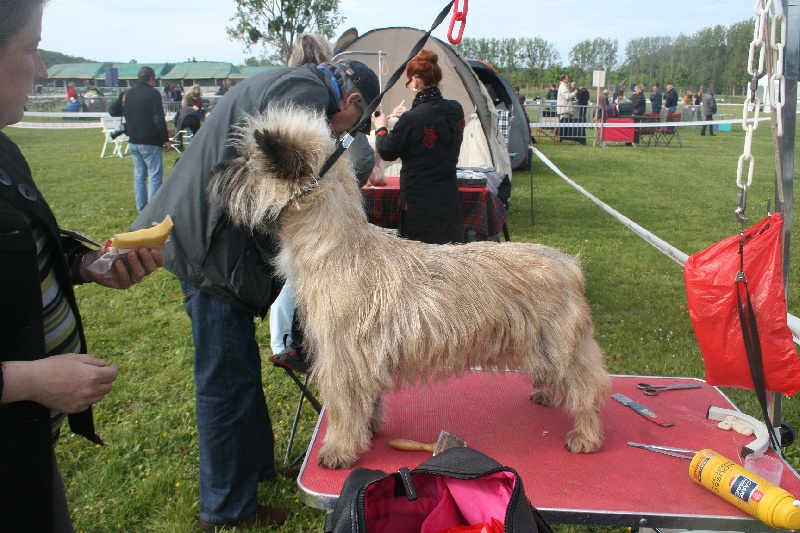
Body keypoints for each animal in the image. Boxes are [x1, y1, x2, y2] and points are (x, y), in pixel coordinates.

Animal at [209, 106, 608, 468]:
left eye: (246, 163)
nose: (216, 171)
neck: (335, 245)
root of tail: (569, 264)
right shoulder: (361, 358)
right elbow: (367, 401)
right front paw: (368, 429)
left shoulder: (340, 358)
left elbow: (342, 407)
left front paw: (339, 449)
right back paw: (549, 396)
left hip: (558, 344)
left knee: (588, 387)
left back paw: (585, 435)